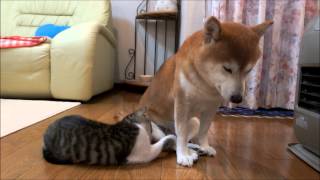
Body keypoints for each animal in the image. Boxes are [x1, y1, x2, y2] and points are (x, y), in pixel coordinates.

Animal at [42, 107, 176, 165]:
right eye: (150, 127)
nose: (152, 131)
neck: (128, 123)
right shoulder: (143, 155)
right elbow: (163, 141)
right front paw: (172, 138)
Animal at [139, 16, 274, 167]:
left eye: (249, 70)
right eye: (227, 68)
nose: (237, 98)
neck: (205, 85)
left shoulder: (210, 108)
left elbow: (203, 131)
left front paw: (204, 146)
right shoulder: (182, 104)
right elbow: (181, 134)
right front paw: (183, 155)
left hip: (194, 122)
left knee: (180, 137)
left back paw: (196, 148)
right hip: (155, 127)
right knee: (173, 138)